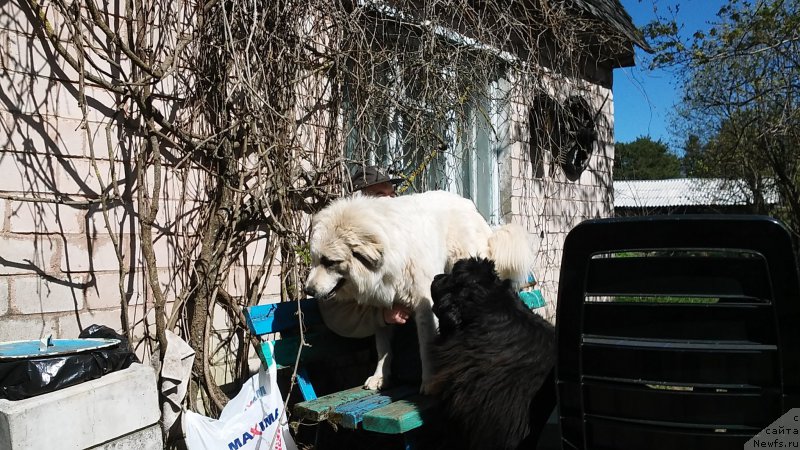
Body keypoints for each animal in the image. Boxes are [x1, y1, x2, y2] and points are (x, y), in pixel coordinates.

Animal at [304, 190, 536, 394]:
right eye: (314, 260)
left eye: (329, 262)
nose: (308, 289)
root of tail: (467, 203)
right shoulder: (383, 306)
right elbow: (383, 347)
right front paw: (381, 376)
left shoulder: (425, 307)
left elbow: (426, 347)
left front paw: (430, 382)